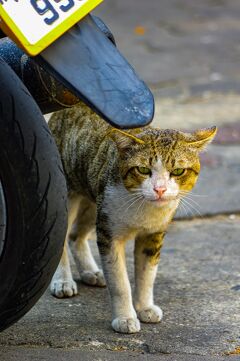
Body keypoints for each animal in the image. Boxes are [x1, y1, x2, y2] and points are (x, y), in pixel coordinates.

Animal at [48, 102, 218, 334]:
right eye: (143, 169)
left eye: (178, 171)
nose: (160, 189)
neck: (143, 207)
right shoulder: (109, 233)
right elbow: (120, 282)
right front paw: (125, 318)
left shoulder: (154, 234)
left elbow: (147, 274)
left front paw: (145, 307)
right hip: (70, 191)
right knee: (61, 235)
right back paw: (63, 280)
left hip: (95, 197)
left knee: (75, 234)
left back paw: (90, 271)